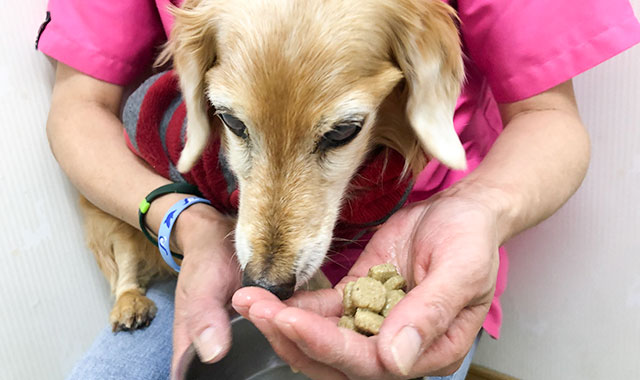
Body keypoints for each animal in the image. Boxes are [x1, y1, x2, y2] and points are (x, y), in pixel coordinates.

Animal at [82, 0, 468, 330]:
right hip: (112, 220)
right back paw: (130, 303)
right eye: (231, 122)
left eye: (344, 131)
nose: (264, 284)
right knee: (124, 264)